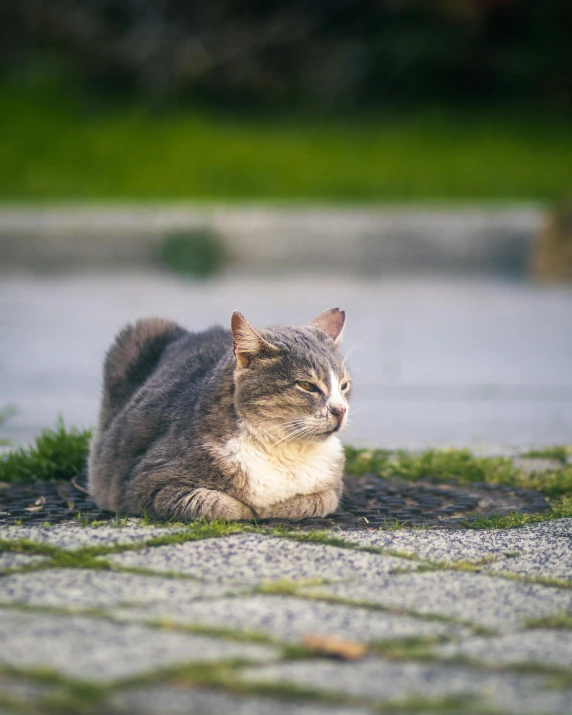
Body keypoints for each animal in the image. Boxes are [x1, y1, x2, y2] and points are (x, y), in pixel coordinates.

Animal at [87, 306, 350, 520]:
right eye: (307, 386)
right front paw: (252, 510)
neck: (285, 450)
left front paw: (273, 508)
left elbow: (316, 501)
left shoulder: (331, 487)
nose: (341, 410)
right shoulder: (147, 484)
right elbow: (220, 505)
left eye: (344, 386)